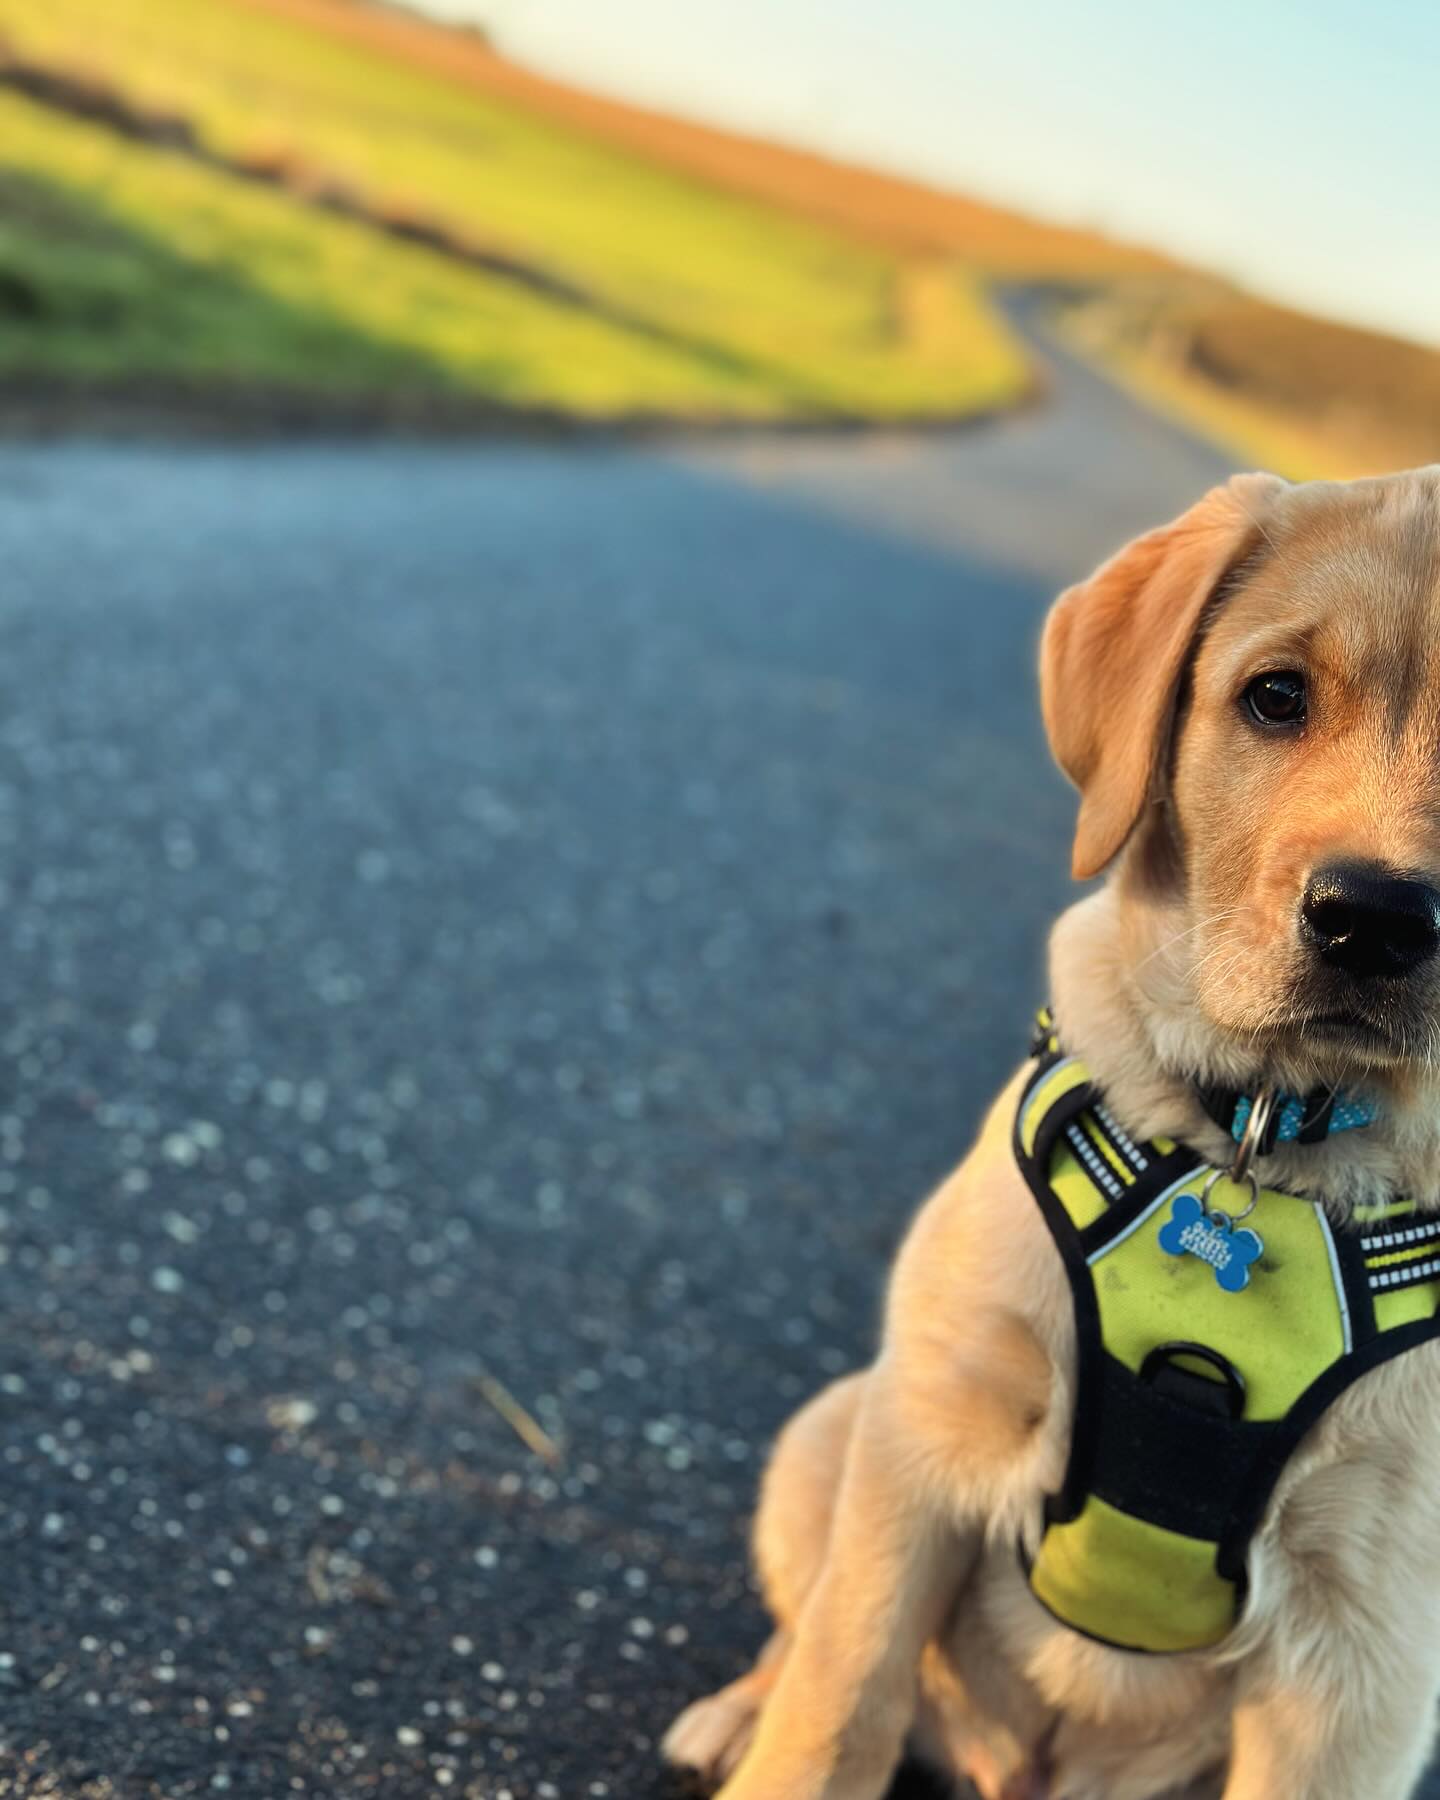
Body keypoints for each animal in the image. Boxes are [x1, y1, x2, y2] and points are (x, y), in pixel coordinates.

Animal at [662, 468, 1440, 1800]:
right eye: (1276, 696)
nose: (1376, 921)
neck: (1263, 1137)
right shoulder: (925, 1445)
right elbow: (835, 1705)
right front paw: (783, 1739)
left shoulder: (1368, 1662)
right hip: (833, 1430)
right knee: (801, 1636)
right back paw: (733, 1715)